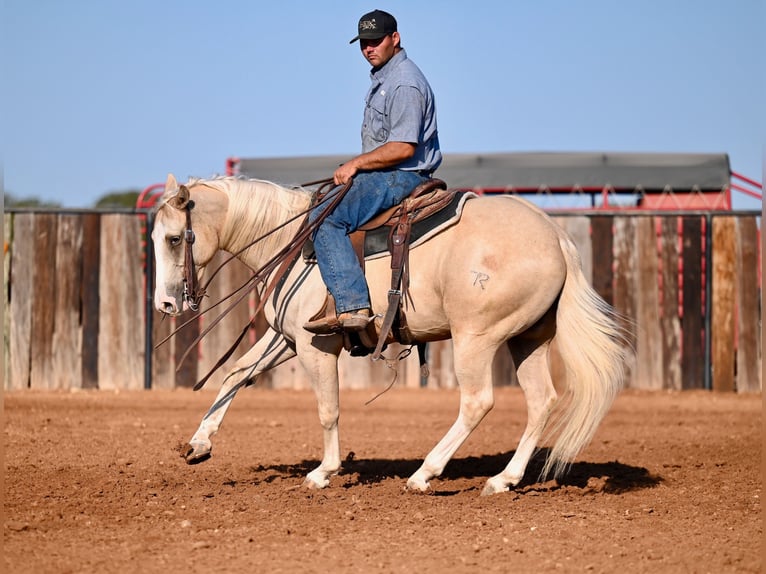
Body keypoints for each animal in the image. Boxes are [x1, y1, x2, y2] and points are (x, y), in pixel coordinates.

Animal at [152, 173, 632, 498]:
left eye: (175, 239)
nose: (166, 304)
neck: (291, 239)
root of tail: (554, 236)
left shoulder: (314, 345)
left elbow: (328, 409)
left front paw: (323, 472)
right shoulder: (285, 339)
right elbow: (236, 374)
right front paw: (198, 443)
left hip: (476, 337)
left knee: (477, 402)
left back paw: (423, 474)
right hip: (527, 338)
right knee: (541, 401)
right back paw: (503, 479)